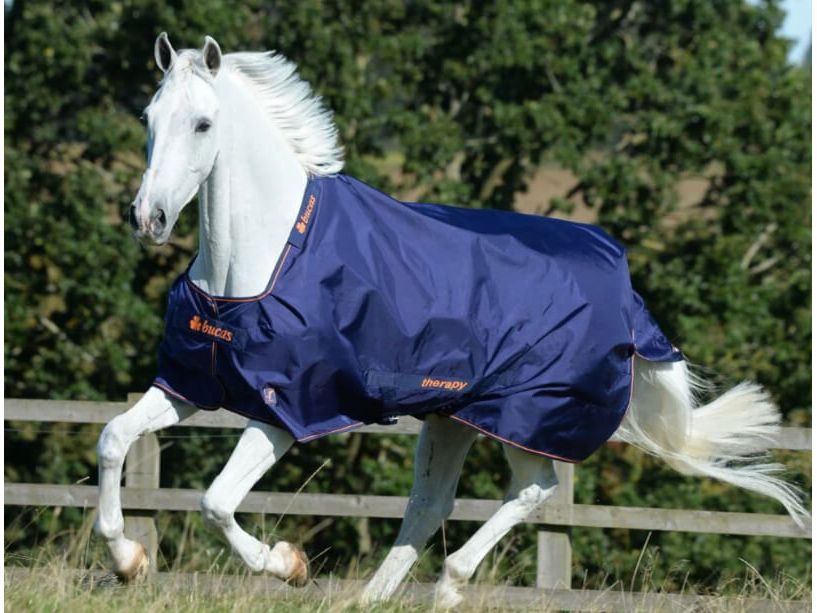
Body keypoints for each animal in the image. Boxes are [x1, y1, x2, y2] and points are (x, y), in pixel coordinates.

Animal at [95, 33, 808, 608]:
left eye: (203, 124)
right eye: (149, 117)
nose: (148, 219)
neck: (265, 260)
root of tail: (624, 284)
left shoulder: (284, 410)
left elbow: (215, 501)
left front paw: (289, 564)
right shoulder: (192, 386)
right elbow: (113, 439)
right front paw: (129, 560)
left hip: (523, 417)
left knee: (535, 490)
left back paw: (449, 584)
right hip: (452, 416)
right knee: (432, 502)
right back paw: (371, 599)